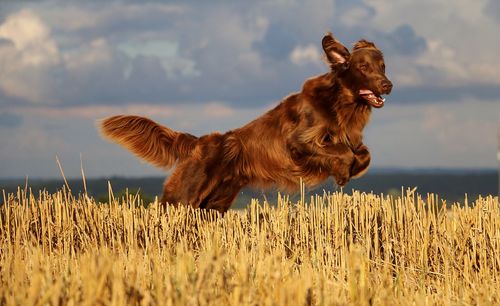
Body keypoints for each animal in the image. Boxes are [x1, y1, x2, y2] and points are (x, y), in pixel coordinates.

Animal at [99, 32, 392, 212]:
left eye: (383, 66)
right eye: (363, 67)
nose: (388, 85)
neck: (342, 104)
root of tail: (199, 142)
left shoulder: (351, 139)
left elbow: (364, 154)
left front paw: (353, 169)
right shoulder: (298, 142)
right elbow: (341, 151)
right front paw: (342, 173)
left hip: (215, 202)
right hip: (184, 196)